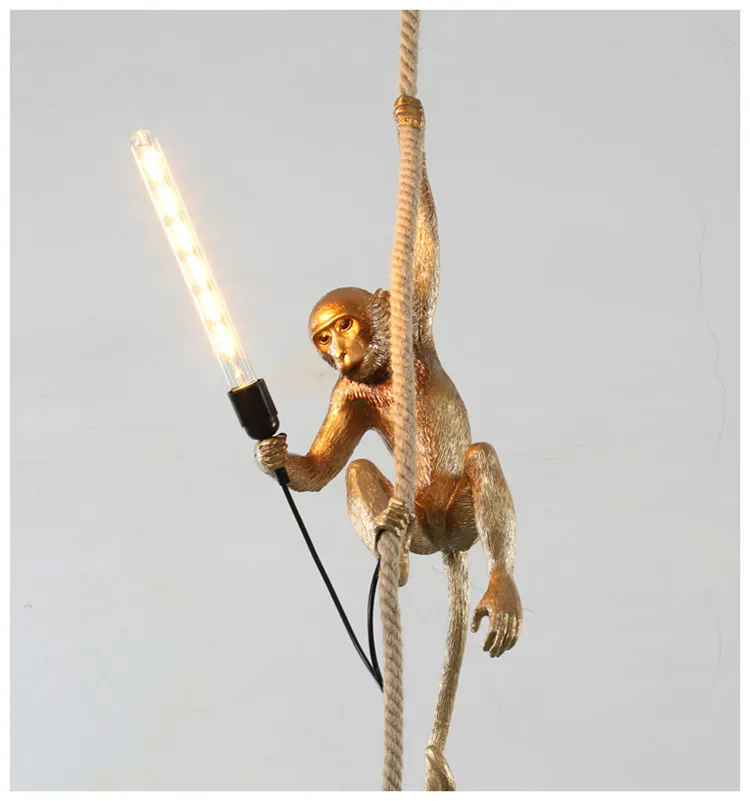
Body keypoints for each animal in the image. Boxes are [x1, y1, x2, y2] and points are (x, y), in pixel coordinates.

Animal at [255, 152, 521, 791]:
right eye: (323, 338)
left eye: (345, 326)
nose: (337, 350)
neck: (380, 372)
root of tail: (448, 545)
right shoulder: (344, 393)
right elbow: (324, 469)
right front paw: (274, 457)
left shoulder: (413, 320)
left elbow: (424, 249)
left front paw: (412, 130)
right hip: (427, 528)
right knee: (359, 470)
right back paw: (391, 554)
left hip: (460, 517)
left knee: (481, 458)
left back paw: (500, 587)